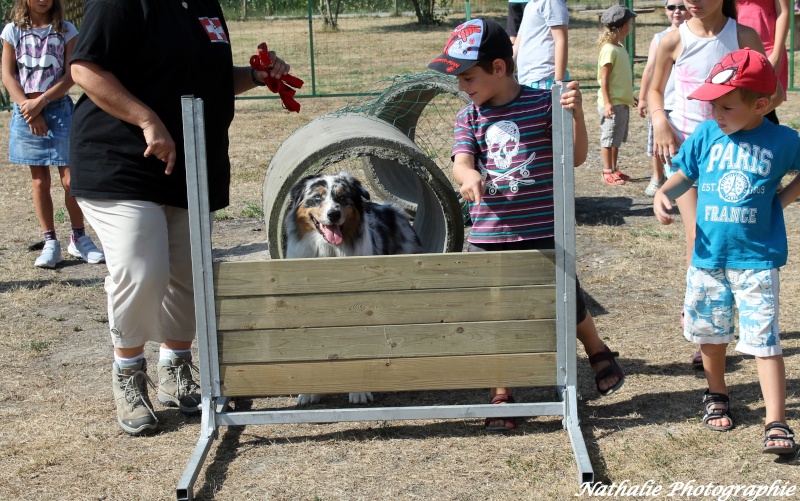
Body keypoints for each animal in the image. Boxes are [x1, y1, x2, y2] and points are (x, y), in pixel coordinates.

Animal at [282, 170, 422, 404]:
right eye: (317, 197)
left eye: (342, 197)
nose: (333, 214)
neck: (328, 251)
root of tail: (390, 207)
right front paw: (309, 391)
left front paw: (359, 391)